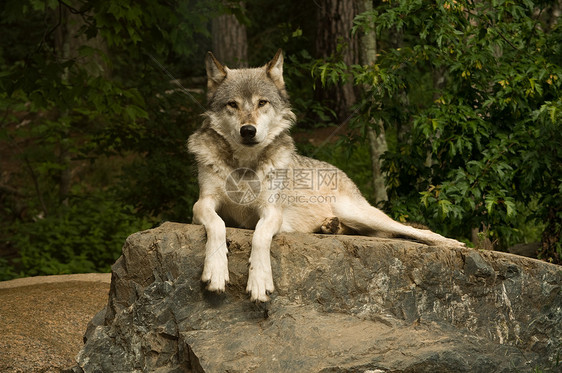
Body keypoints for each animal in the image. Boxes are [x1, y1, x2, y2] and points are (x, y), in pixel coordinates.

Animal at [186, 49, 462, 300]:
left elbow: (260, 236)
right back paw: (331, 227)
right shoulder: (202, 204)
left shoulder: (271, 211)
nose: (248, 130)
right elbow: (218, 224)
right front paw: (216, 271)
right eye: (232, 104)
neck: (244, 167)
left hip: (359, 212)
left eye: (262, 102)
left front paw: (259, 281)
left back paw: (450, 243)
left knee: (409, 230)